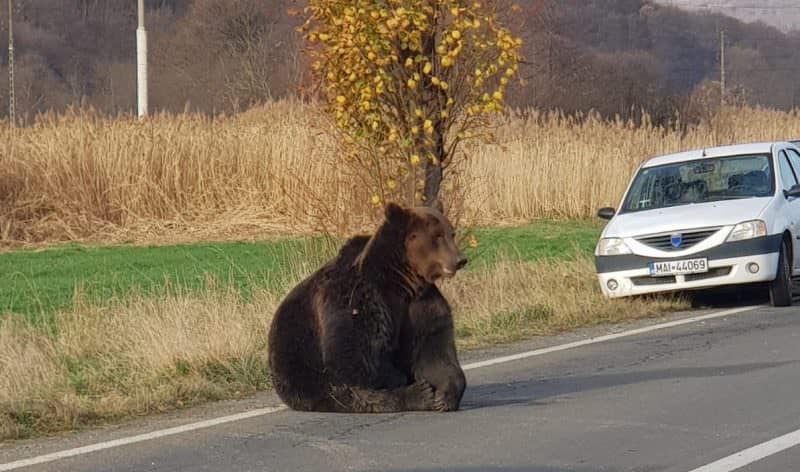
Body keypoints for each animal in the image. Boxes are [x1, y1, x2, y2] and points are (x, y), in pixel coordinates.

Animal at [268, 203, 468, 412]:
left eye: (451, 233)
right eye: (437, 235)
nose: (460, 260)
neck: (401, 281)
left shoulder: (421, 305)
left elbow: (433, 349)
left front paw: (444, 396)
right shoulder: (357, 299)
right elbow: (353, 357)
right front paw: (423, 391)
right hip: (302, 370)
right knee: (353, 393)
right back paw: (417, 394)